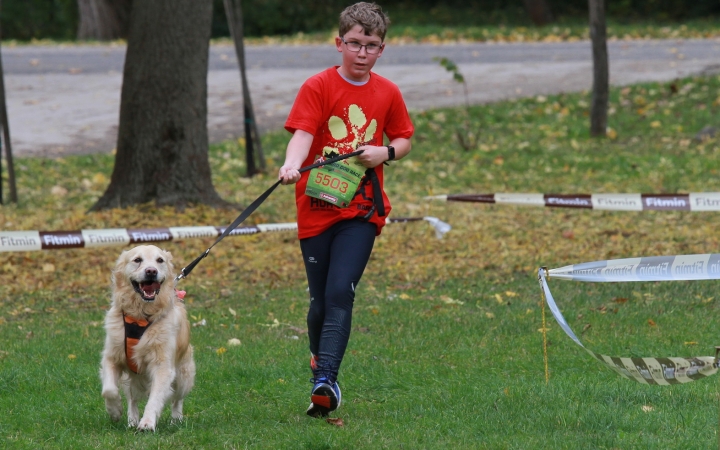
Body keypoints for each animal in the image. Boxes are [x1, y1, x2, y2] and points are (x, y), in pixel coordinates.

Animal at [99, 246, 194, 432]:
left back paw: (176, 420)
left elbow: (155, 397)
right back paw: (131, 420)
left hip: (183, 375)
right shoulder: (111, 357)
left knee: (177, 399)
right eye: (137, 260)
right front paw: (115, 411)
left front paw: (148, 423)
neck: (141, 315)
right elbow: (109, 390)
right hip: (130, 379)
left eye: (160, 260)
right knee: (132, 399)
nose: (151, 271)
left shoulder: (163, 366)